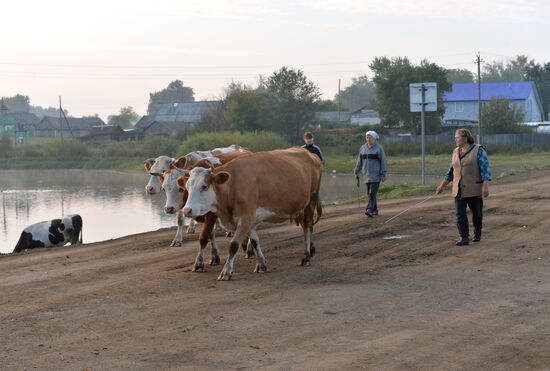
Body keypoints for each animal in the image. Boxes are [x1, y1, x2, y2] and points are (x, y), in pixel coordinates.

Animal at [179, 147, 322, 280]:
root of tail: (309, 154)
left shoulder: (246, 217)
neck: (232, 185)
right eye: (187, 187)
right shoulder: (251, 219)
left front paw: (226, 271)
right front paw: (261, 264)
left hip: (311, 201)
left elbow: (234, 245)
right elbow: (254, 241)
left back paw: (306, 257)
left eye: (204, 186)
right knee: (305, 227)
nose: (186, 210)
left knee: (308, 227)